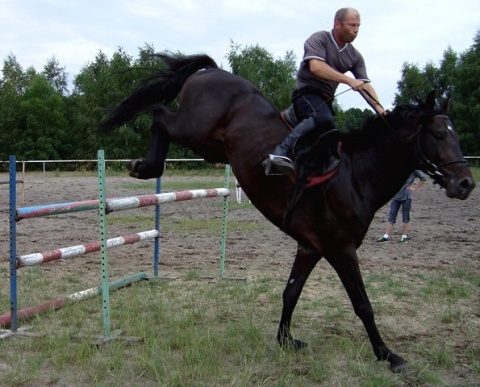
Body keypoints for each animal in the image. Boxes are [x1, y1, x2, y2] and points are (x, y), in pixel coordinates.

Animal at [99, 53, 474, 372]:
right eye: (438, 134)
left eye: (455, 135)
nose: (466, 183)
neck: (354, 175)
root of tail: (212, 71)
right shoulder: (340, 249)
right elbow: (362, 304)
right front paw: (387, 354)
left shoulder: (310, 247)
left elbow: (291, 292)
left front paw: (285, 340)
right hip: (196, 132)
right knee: (160, 114)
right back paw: (145, 166)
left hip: (209, 146)